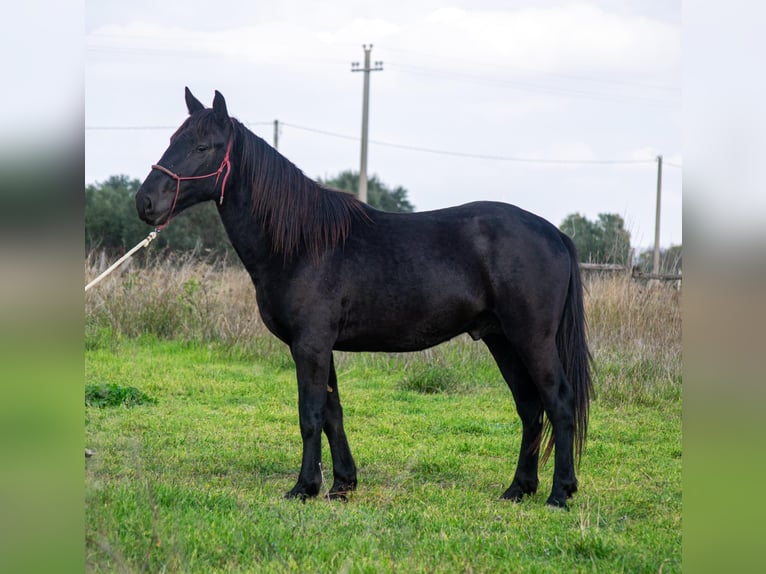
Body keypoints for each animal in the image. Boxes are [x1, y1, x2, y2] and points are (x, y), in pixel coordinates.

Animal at [138, 86, 592, 508]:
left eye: (202, 147)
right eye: (172, 140)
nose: (145, 202)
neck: (302, 243)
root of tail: (554, 232)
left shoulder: (310, 345)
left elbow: (310, 415)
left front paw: (304, 487)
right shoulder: (321, 347)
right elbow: (332, 414)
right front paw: (341, 484)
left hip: (531, 339)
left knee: (558, 402)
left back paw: (560, 493)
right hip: (501, 340)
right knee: (530, 407)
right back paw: (519, 488)